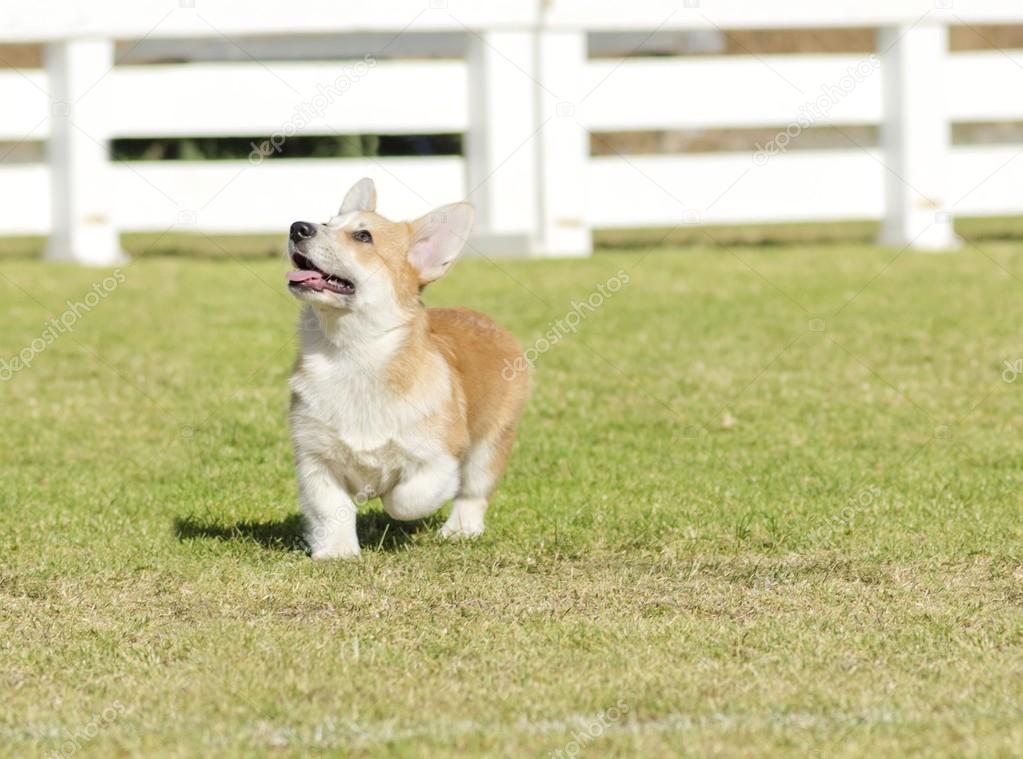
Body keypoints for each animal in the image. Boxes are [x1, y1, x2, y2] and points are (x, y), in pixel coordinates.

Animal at [286, 177, 527, 560]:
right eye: (327, 222)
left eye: (363, 236)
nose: (297, 227)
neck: (352, 354)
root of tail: (487, 321)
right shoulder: (314, 457)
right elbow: (331, 508)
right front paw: (337, 552)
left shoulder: (439, 457)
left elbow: (406, 498)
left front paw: (383, 493)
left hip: (491, 443)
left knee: (473, 492)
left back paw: (460, 530)